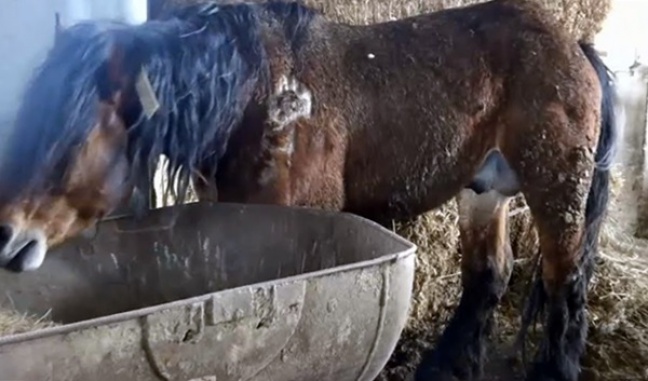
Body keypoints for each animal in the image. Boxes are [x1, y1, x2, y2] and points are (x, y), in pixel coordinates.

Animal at [0, 1, 616, 378]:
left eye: (73, 136)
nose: (7, 238)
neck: (258, 98)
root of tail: (572, 43)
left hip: (556, 187)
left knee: (565, 284)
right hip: (485, 190)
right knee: (489, 278)